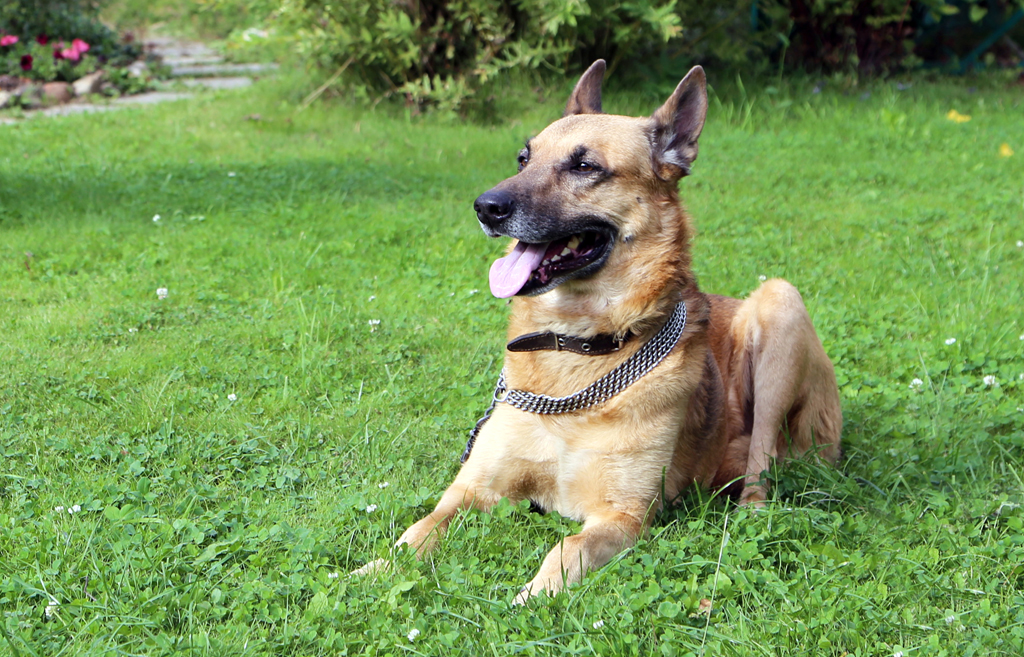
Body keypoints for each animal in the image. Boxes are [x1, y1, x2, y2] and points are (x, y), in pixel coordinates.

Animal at [369, 61, 842, 604]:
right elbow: (418, 532)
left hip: (780, 306)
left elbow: (565, 550)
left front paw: (530, 598)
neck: (575, 352)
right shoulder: (472, 489)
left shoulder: (622, 516)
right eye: (523, 158)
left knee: (762, 466)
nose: (486, 207)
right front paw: (372, 572)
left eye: (585, 167)